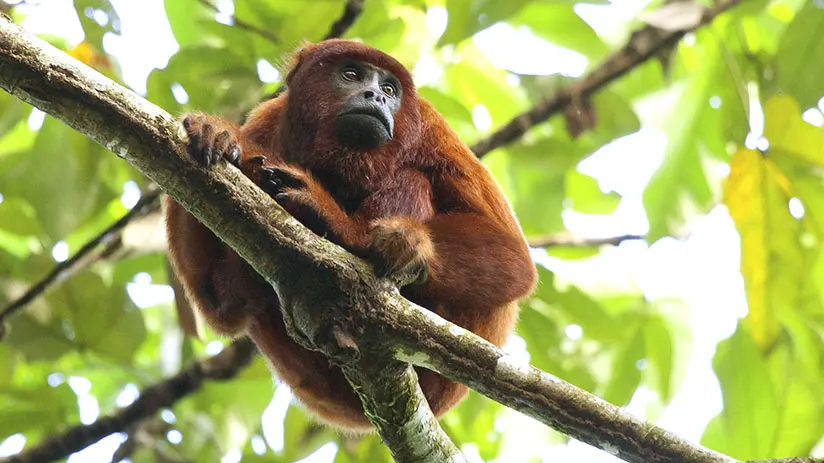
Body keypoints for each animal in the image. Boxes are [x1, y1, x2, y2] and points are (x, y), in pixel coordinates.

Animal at [166, 40, 540, 432]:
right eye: (351, 74)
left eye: (390, 89)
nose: (375, 95)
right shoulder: (267, 121)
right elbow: (219, 305)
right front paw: (215, 133)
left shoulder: (431, 129)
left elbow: (516, 262)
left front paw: (382, 239)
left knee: (412, 178)